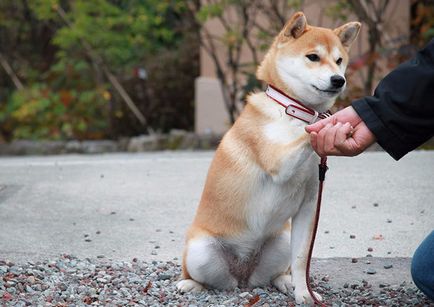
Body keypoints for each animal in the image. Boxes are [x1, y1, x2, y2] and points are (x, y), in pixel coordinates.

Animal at [176, 12, 360, 306]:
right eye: (313, 57)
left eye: (339, 60)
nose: (338, 80)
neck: (295, 113)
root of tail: (242, 278)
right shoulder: (278, 161)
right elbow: (308, 133)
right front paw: (329, 125)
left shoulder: (310, 205)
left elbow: (301, 260)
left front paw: (304, 294)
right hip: (200, 250)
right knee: (207, 281)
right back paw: (191, 285)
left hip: (281, 241)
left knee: (275, 274)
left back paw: (284, 282)